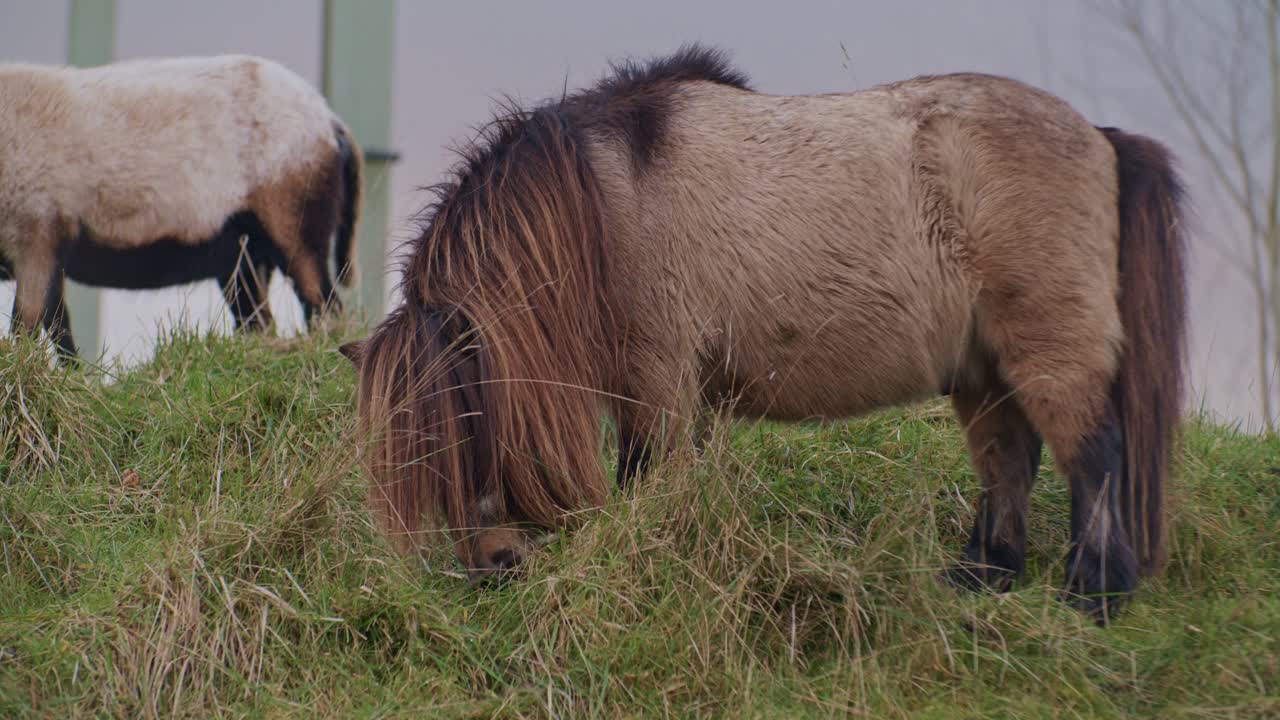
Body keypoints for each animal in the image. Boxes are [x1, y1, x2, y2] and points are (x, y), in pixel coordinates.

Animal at [0, 54, 362, 361]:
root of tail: (332, 123)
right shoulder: (48, 254)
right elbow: (59, 330)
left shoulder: (36, 238)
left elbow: (26, 325)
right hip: (243, 258)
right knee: (262, 321)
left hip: (296, 226)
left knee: (324, 307)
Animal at [340, 45, 1187, 623]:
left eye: (460, 433)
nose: (491, 568)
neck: (606, 202)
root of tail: (1101, 138)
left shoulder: (658, 382)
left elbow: (648, 479)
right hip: (981, 370)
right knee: (1007, 460)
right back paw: (981, 578)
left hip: (1051, 347)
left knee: (1093, 455)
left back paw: (1092, 593)